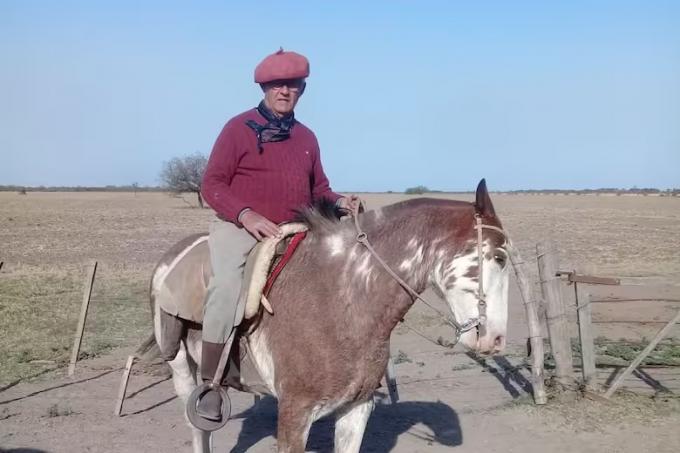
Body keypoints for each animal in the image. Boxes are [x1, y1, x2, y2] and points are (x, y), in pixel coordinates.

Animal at [150, 179, 510, 452]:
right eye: (500, 257)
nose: (495, 340)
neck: (342, 301)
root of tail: (170, 259)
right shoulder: (295, 414)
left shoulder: (356, 408)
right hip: (181, 367)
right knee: (199, 428)